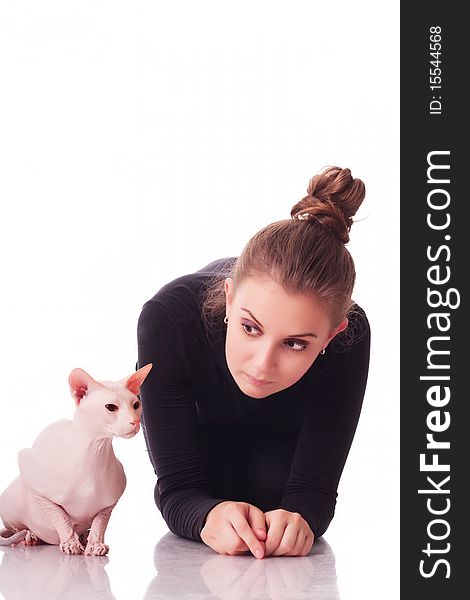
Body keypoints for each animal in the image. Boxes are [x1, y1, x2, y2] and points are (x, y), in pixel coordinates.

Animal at [0, 358, 152, 556]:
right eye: (111, 407)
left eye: (136, 405)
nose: (135, 421)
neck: (95, 453)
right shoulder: (34, 479)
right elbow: (60, 517)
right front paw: (70, 543)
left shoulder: (110, 501)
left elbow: (100, 522)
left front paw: (95, 543)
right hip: (11, 500)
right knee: (16, 527)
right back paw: (30, 535)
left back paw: (83, 536)